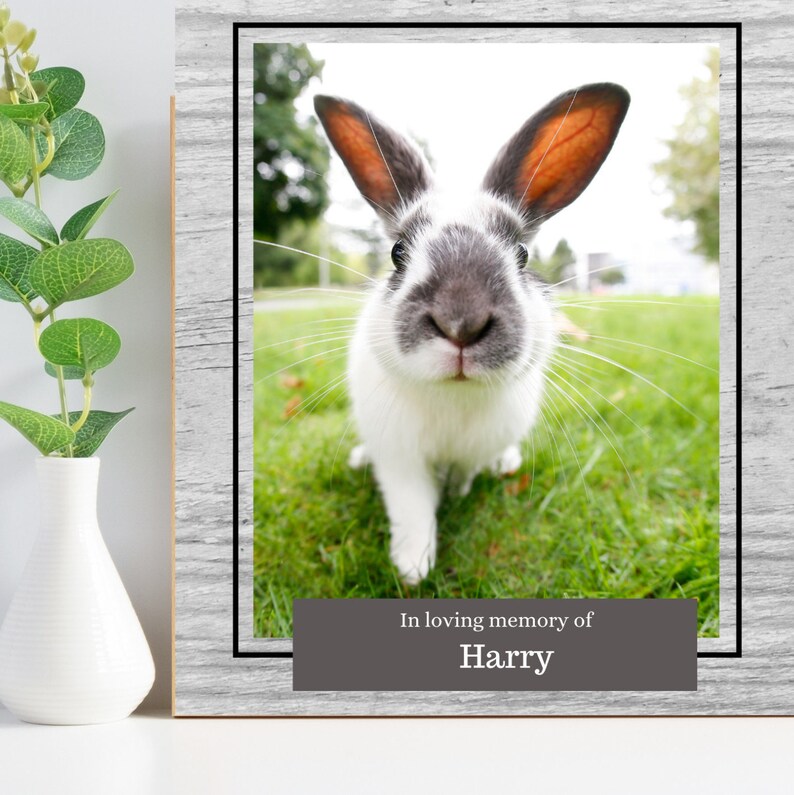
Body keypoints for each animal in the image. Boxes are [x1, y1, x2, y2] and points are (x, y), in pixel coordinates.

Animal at [314, 83, 630, 584]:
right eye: (398, 252)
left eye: (522, 254)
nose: (460, 322)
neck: (453, 396)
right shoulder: (400, 461)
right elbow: (413, 509)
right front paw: (412, 568)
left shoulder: (471, 451)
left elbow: (462, 477)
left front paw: (456, 498)